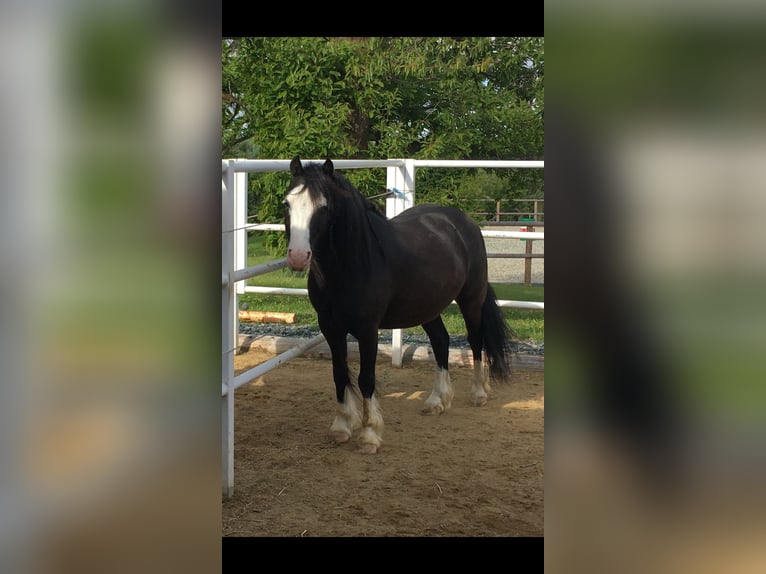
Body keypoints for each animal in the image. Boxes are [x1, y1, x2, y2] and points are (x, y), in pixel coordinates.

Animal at [284, 158, 516, 454]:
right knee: (441, 342)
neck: (353, 262)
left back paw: (477, 393)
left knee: (476, 340)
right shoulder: (330, 327)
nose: (298, 257)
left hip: (471, 299)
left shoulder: (367, 330)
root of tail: (463, 221)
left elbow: (366, 379)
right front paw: (342, 426)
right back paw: (437, 401)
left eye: (323, 207)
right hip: (428, 307)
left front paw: (370, 434)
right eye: (287, 203)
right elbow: (339, 374)